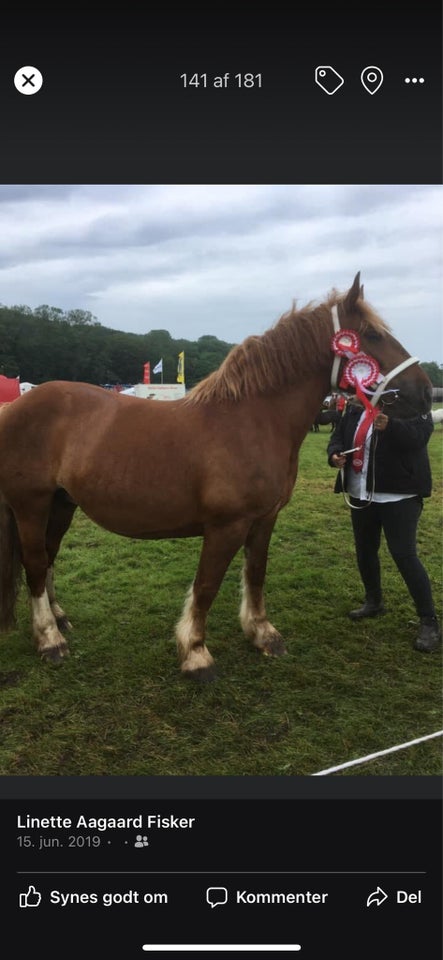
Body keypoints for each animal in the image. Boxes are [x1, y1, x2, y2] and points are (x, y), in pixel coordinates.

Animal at [0, 274, 434, 680]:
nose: (427, 393)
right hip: (30, 505)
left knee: (48, 558)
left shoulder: (264, 519)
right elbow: (206, 586)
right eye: (373, 334)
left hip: (62, 504)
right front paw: (195, 654)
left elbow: (256, 574)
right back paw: (50, 640)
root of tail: (17, 406)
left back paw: (59, 620)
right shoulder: (227, 525)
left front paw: (263, 636)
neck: (251, 420)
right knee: (35, 563)